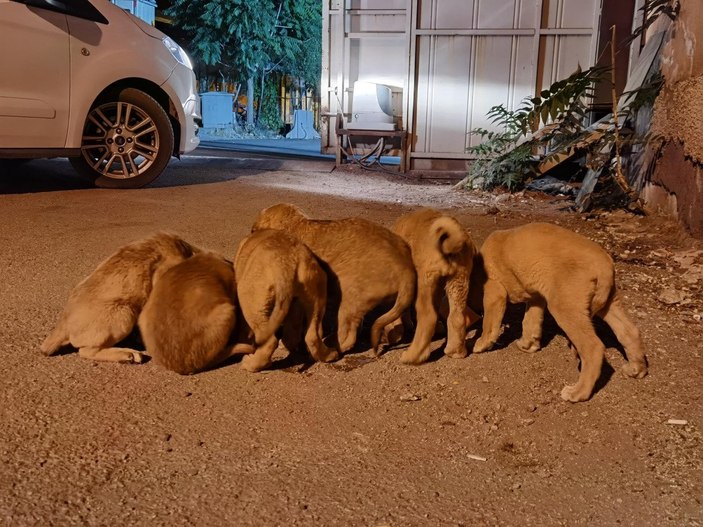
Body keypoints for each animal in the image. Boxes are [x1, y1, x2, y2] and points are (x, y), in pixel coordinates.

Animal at [234, 229, 338, 374]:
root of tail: (287, 263)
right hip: (317, 293)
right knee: (311, 335)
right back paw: (329, 355)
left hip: (250, 301)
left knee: (270, 341)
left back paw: (251, 364)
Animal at [253, 204, 418, 356]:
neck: (296, 223)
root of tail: (406, 268)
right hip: (392, 300)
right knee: (397, 324)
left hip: (352, 292)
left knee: (348, 334)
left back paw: (330, 346)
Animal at [390, 208, 478, 366]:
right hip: (459, 278)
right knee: (456, 315)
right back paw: (456, 352)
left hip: (426, 279)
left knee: (428, 316)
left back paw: (413, 356)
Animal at [472, 224, 648, 404]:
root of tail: (605, 266)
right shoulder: (536, 296)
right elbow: (530, 322)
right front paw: (528, 344)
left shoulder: (495, 291)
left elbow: (489, 324)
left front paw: (481, 344)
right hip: (609, 303)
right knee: (630, 331)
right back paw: (636, 369)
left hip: (566, 307)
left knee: (593, 348)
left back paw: (578, 392)